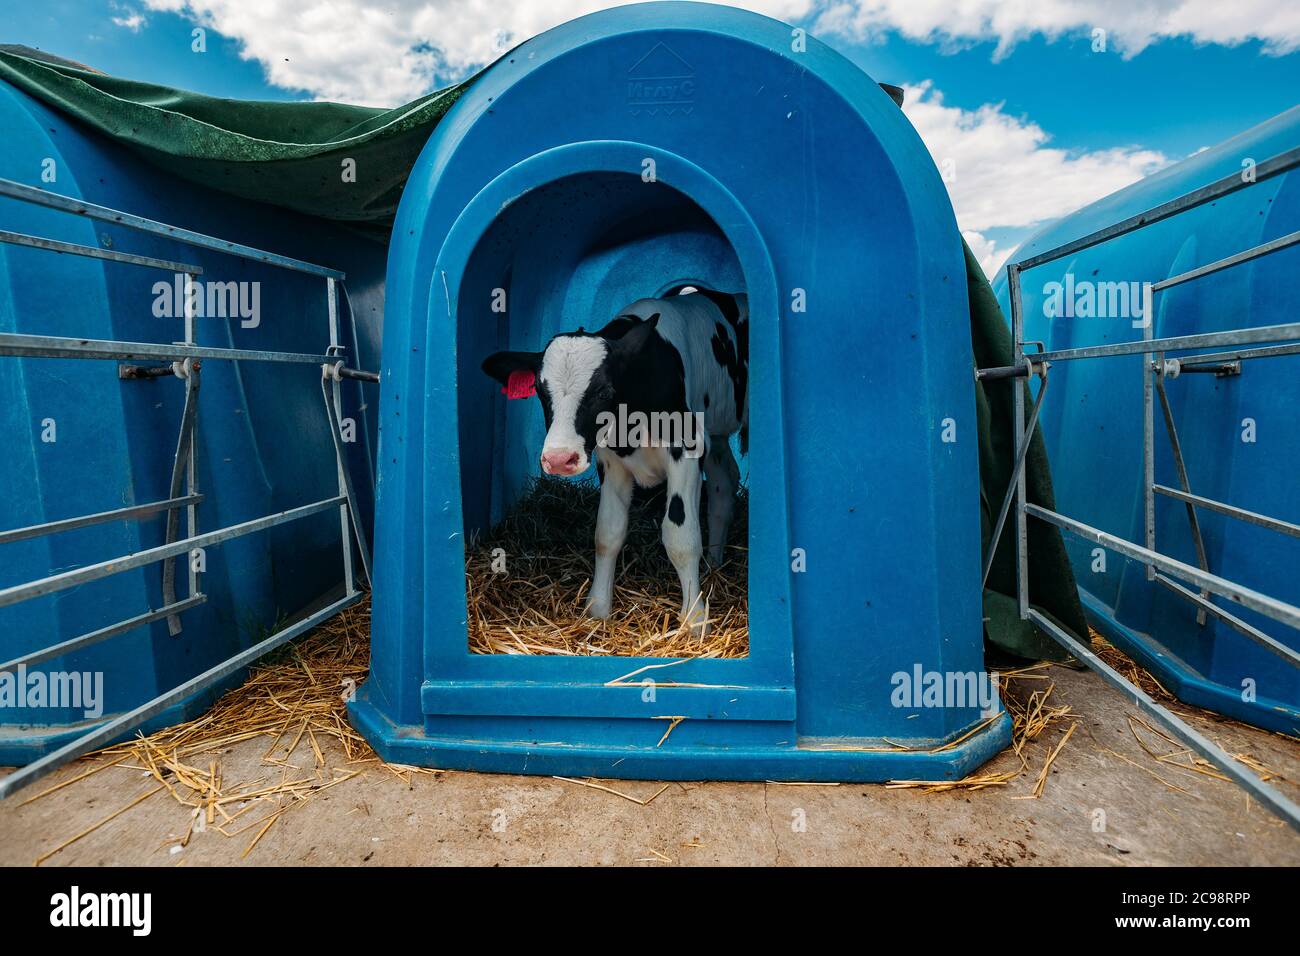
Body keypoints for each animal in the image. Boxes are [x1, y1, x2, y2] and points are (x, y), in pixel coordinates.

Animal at [480, 291, 748, 634]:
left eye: (603, 391)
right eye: (540, 390)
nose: (558, 458)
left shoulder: (687, 449)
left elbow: (681, 536)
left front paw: (695, 619)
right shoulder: (611, 461)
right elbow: (607, 533)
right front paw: (597, 608)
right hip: (716, 433)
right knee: (724, 482)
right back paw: (714, 564)